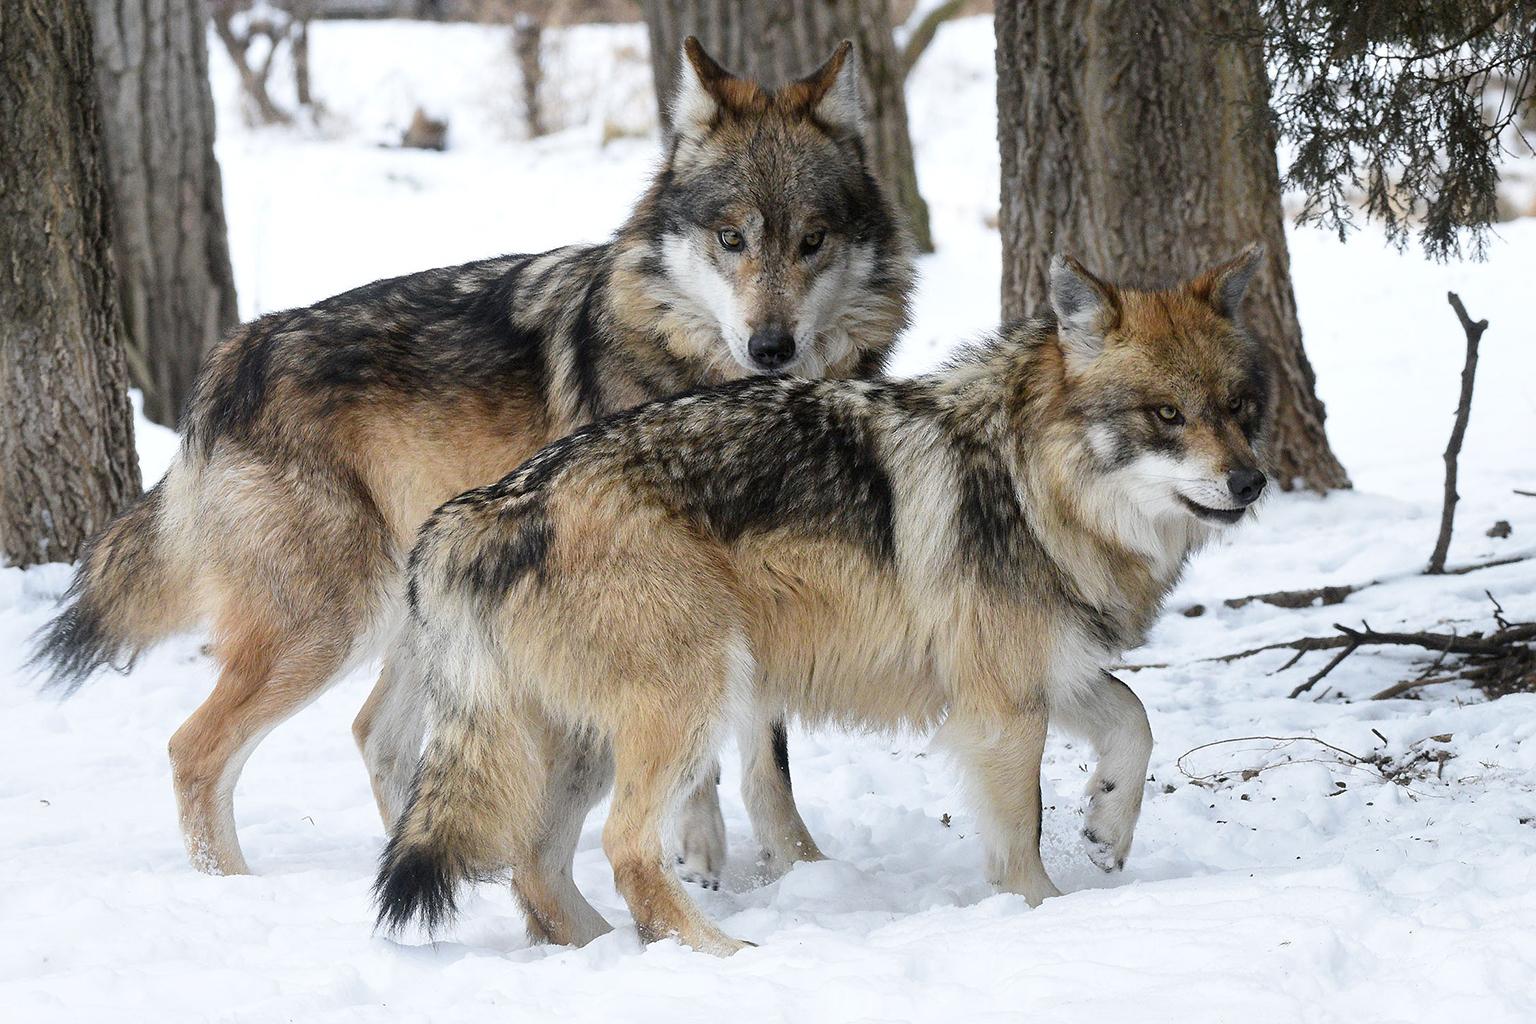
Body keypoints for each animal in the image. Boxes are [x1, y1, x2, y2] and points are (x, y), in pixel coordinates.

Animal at [29, 36, 909, 878]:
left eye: (812, 242)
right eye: (731, 239)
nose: (772, 348)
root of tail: (229, 357)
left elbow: (770, 762)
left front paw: (799, 871)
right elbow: (708, 764)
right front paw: (708, 864)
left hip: (420, 614)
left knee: (375, 734)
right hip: (330, 626)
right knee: (195, 749)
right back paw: (234, 887)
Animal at [371, 245, 1271, 951]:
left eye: (1238, 409)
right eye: (1167, 414)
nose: (1252, 483)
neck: (1029, 480)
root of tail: (484, 509)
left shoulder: (1046, 668)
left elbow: (1135, 722)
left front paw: (1107, 832)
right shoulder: (1003, 704)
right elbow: (1022, 837)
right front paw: (1044, 915)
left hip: (586, 740)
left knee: (536, 867)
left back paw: (613, 953)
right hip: (691, 701)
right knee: (624, 848)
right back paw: (723, 954)